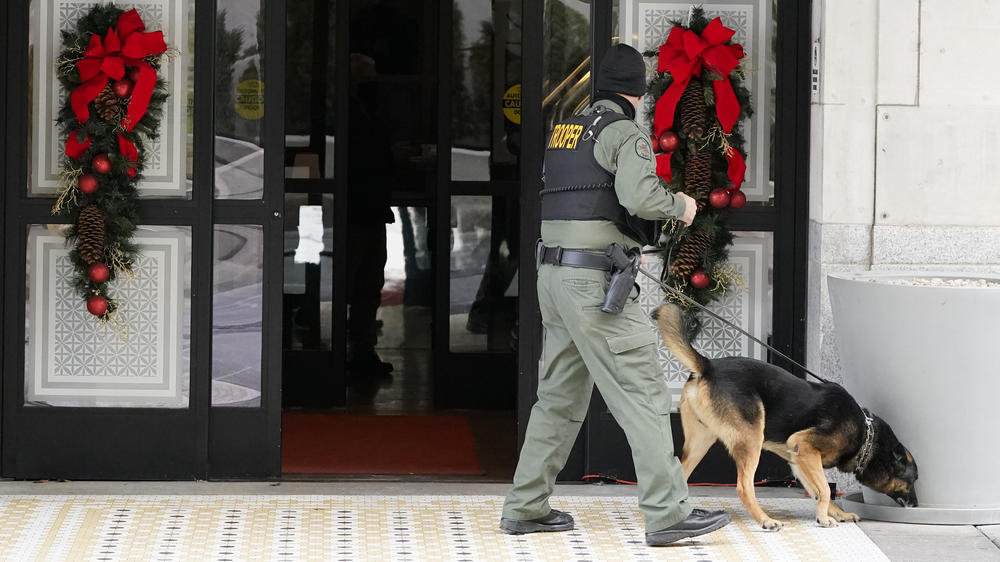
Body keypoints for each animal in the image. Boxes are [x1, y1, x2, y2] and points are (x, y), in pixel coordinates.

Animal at [652, 304, 916, 528]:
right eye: (911, 481)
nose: (915, 505)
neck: (865, 434)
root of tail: (708, 366)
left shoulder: (800, 460)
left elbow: (820, 492)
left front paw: (836, 514)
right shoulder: (804, 445)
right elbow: (826, 490)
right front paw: (824, 518)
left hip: (701, 443)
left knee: (681, 475)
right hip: (751, 440)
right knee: (744, 487)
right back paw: (765, 520)